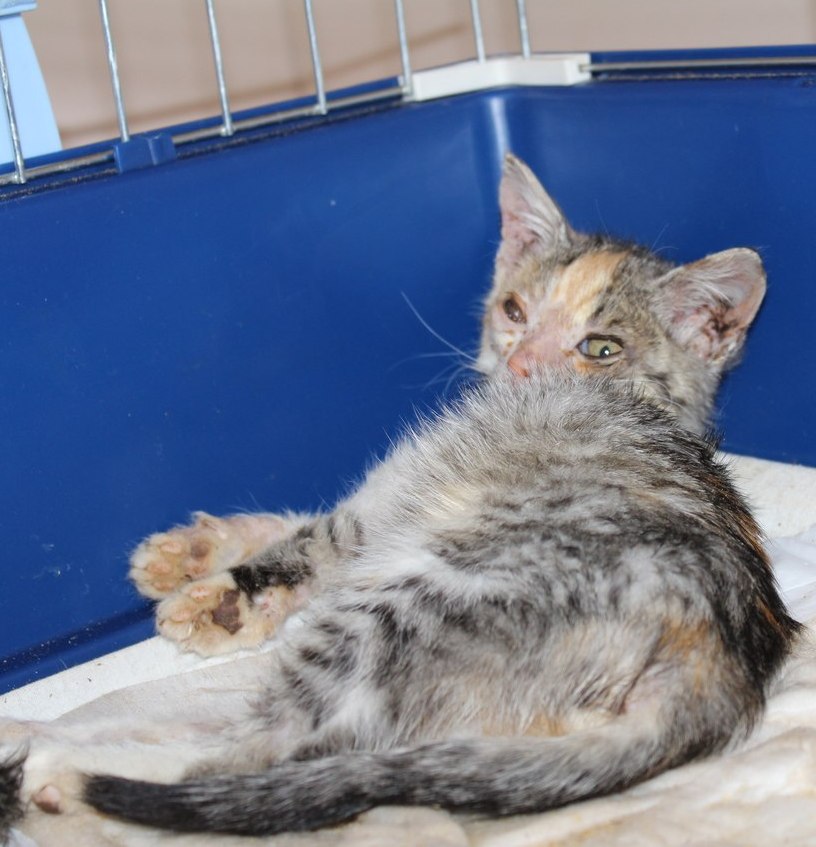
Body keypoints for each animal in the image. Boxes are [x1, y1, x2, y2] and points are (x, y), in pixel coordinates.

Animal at [0, 154, 798, 840]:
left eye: (601, 348)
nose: (521, 366)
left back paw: (68, 773)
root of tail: (721, 667)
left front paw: (217, 599)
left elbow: (314, 536)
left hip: (416, 599)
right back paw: (36, 735)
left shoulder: (391, 505)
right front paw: (186, 550)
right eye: (513, 310)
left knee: (261, 752)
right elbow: (301, 516)